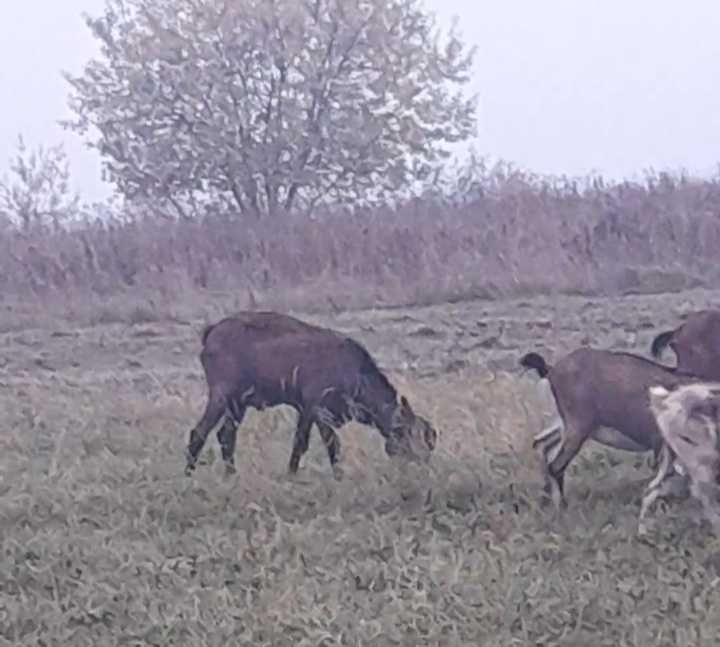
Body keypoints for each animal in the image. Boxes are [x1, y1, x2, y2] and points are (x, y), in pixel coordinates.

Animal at [184, 312, 438, 478]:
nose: (424, 465)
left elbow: (299, 444)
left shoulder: (305, 412)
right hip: (221, 397)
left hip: (237, 406)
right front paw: (339, 476)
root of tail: (213, 331)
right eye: (408, 434)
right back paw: (189, 474)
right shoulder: (320, 412)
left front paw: (291, 474)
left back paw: (231, 474)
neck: (353, 370)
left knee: (226, 436)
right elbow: (333, 445)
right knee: (199, 433)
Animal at [516, 346, 704, 508]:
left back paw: (545, 500)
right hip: (578, 427)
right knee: (555, 465)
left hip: (567, 425)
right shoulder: (662, 444)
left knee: (542, 445)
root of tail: (552, 370)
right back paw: (561, 507)